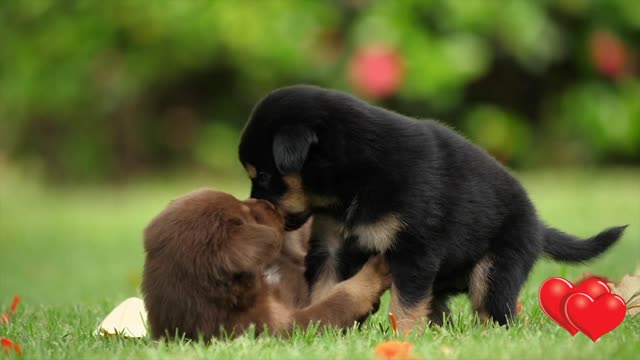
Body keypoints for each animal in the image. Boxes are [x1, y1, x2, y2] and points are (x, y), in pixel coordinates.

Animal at [238, 84, 628, 332]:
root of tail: (538, 224)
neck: (352, 182)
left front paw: (404, 340)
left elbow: (405, 305)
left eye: (266, 177)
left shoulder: (414, 250)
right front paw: (326, 327)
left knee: (494, 313)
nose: (254, 206)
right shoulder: (331, 247)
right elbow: (326, 290)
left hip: (496, 269)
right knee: (441, 309)